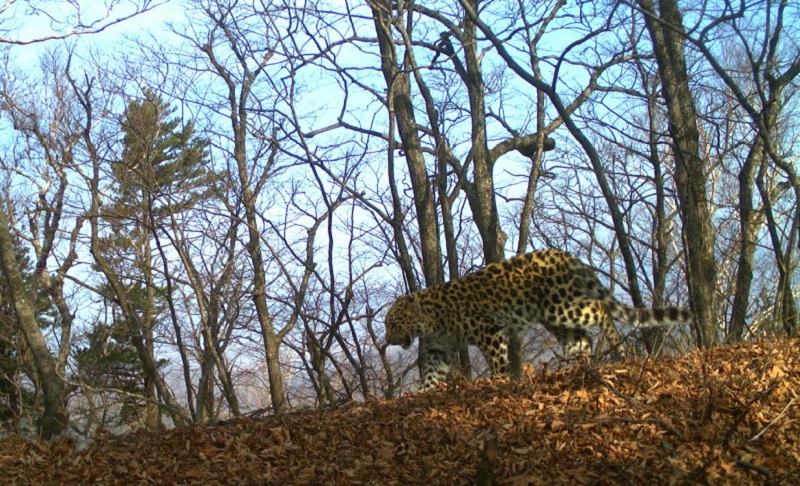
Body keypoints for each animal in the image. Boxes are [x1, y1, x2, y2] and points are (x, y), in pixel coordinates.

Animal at [384, 249, 692, 390]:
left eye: (394, 323)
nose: (387, 339)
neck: (431, 318)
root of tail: (566, 255)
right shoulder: (440, 348)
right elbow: (432, 373)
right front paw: (424, 391)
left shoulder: (489, 329)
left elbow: (497, 360)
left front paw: (500, 380)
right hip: (556, 319)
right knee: (583, 339)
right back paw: (578, 366)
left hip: (563, 306)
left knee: (602, 310)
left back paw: (615, 346)